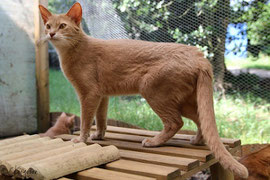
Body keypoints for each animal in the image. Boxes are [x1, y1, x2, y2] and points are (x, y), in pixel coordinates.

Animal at [39, 3, 248, 179]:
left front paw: (81, 140)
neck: (73, 51)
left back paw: (154, 141)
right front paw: (98, 135)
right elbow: (101, 118)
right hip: (185, 101)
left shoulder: (89, 94)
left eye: (62, 26)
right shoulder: (102, 95)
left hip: (153, 91)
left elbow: (85, 120)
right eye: (48, 26)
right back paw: (196, 140)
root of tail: (199, 56)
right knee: (201, 120)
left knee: (176, 122)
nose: (51, 34)